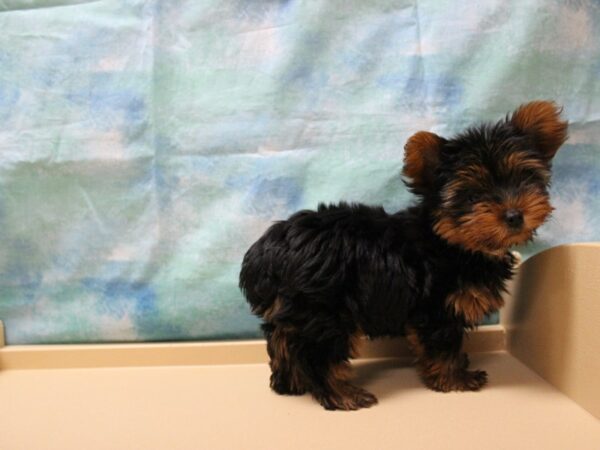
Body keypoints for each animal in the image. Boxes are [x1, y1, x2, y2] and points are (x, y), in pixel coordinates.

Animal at [238, 102, 568, 412]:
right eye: (473, 196)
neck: (451, 241)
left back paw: (290, 384)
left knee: (282, 338)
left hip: (296, 309)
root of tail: (267, 251)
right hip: (325, 309)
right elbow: (444, 345)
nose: (514, 216)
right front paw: (455, 379)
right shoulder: (438, 307)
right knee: (321, 354)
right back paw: (342, 395)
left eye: (525, 179)